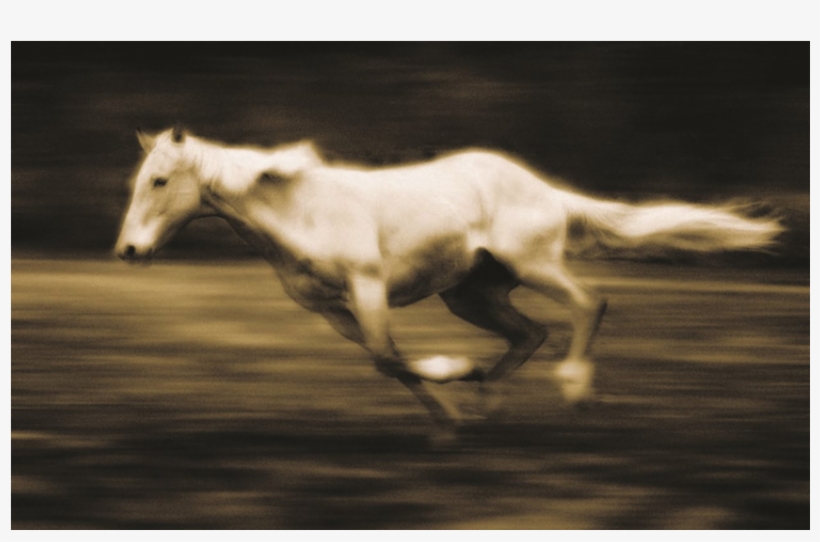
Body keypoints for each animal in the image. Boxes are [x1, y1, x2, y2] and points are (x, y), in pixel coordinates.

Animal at [115, 125, 783, 438]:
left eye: (159, 181)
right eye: (138, 180)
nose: (128, 251)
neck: (300, 213)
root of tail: (545, 189)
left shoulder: (367, 286)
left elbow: (390, 358)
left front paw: (454, 376)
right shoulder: (333, 310)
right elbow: (387, 361)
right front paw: (451, 416)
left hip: (533, 265)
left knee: (590, 303)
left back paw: (573, 389)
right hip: (469, 294)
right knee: (531, 333)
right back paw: (489, 399)